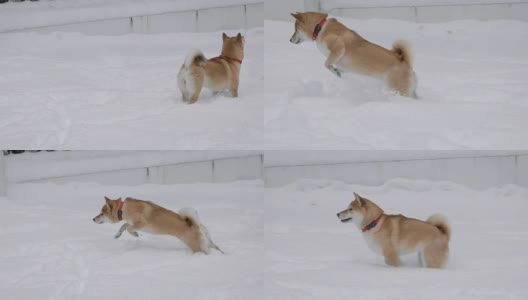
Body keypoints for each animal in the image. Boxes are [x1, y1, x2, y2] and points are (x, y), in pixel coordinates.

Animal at [93, 198, 223, 254]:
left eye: (102, 213)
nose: (93, 219)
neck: (123, 209)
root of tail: (196, 224)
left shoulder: (141, 223)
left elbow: (129, 228)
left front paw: (135, 234)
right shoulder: (131, 222)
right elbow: (124, 225)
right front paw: (117, 234)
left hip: (196, 246)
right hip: (208, 243)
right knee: (216, 248)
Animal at [288, 12, 416, 97]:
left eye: (295, 29)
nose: (290, 40)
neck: (319, 28)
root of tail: (405, 64)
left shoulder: (338, 48)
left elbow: (326, 64)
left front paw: (335, 72)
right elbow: (338, 67)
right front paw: (338, 71)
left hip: (397, 89)